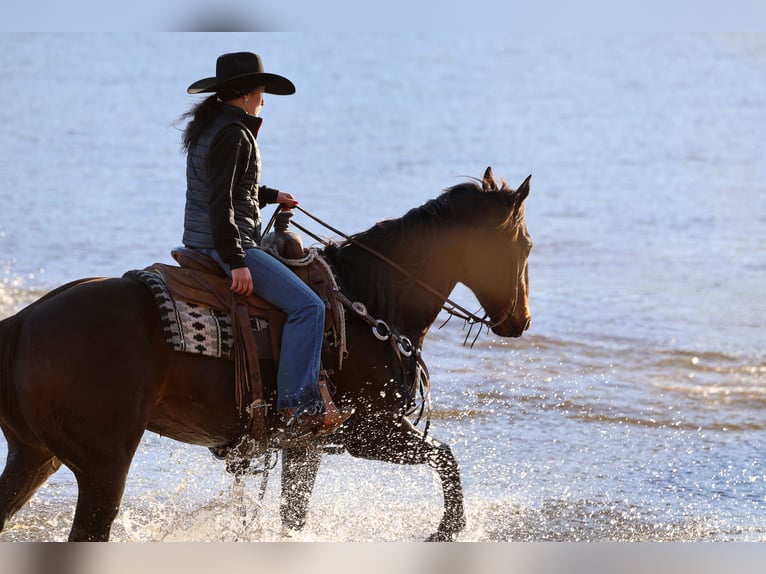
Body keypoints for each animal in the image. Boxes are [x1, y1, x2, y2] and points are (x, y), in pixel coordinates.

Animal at [0, 167, 532, 541]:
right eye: (525, 244)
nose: (521, 322)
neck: (370, 301)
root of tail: (23, 323)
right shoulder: (369, 432)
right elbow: (446, 458)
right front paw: (447, 530)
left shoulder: (305, 445)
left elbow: (293, 516)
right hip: (103, 466)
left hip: (35, 455)